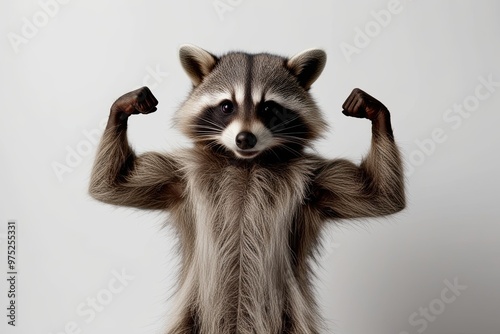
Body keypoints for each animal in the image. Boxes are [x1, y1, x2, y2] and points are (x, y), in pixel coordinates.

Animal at [90, 45, 406, 334]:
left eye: (268, 108)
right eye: (226, 106)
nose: (245, 138)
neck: (246, 165)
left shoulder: (313, 179)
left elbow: (379, 195)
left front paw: (376, 112)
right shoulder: (181, 175)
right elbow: (114, 184)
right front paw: (121, 109)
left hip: (290, 318)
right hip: (192, 314)